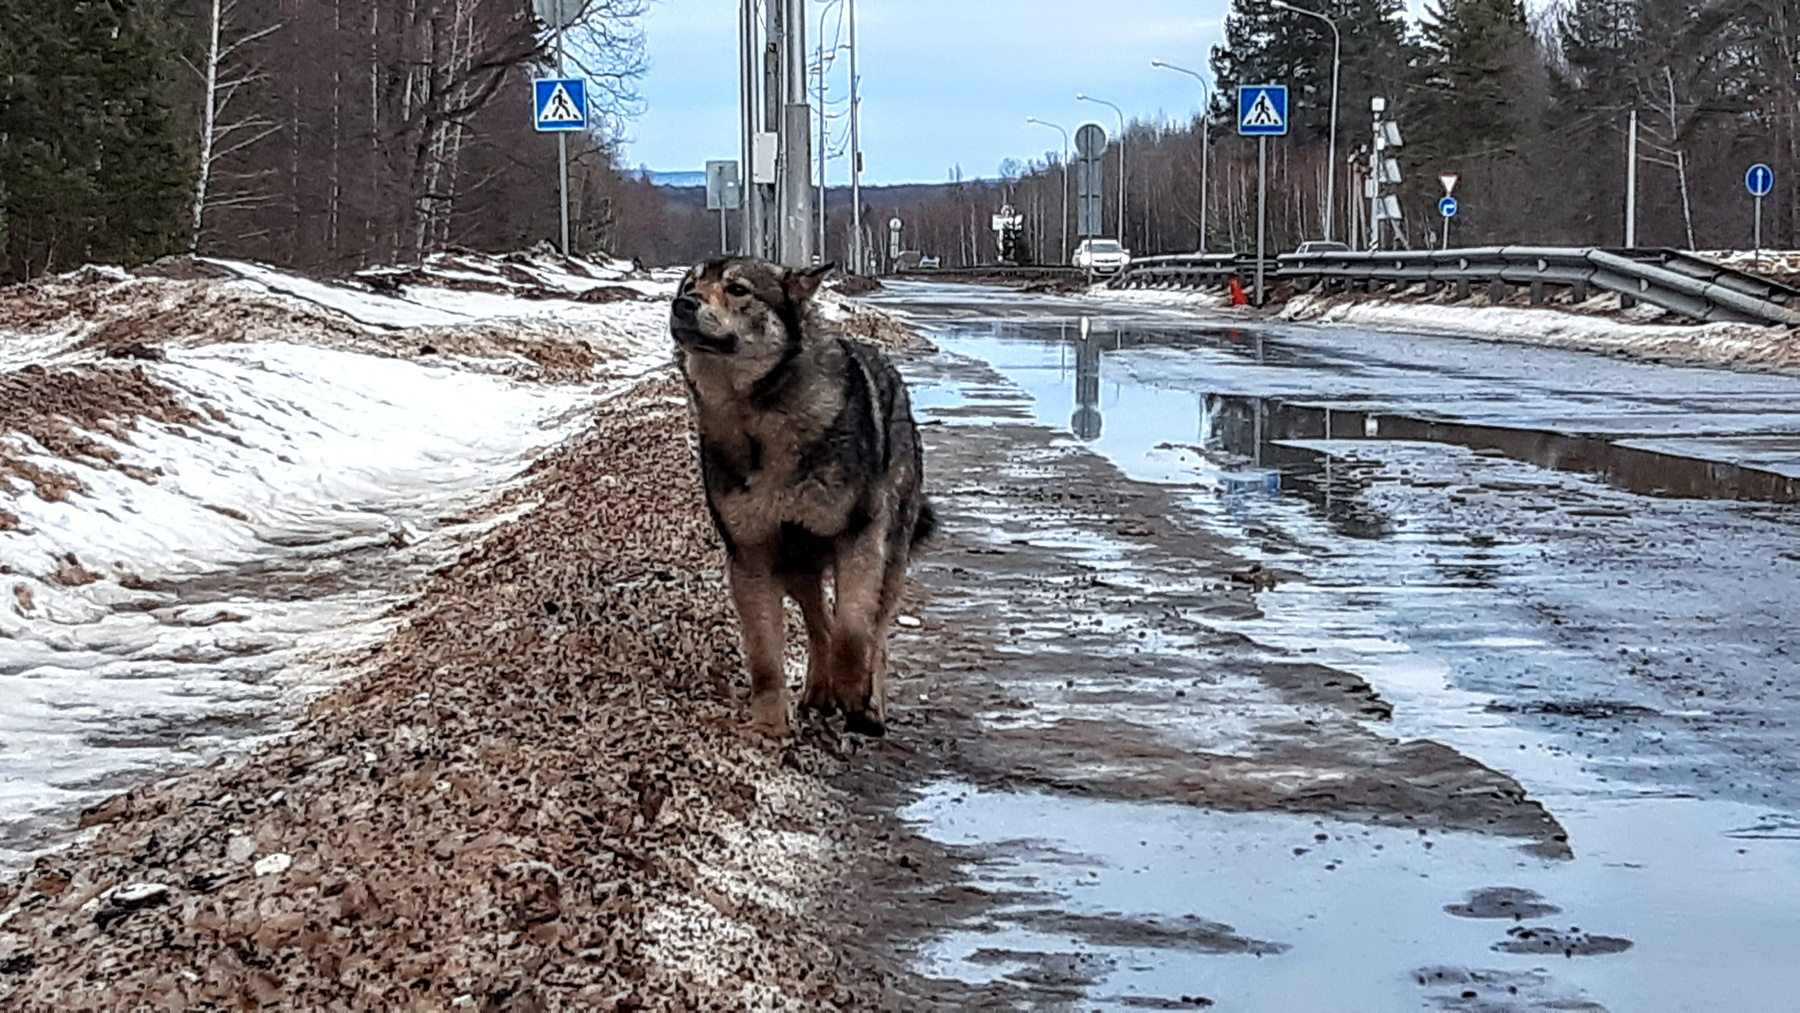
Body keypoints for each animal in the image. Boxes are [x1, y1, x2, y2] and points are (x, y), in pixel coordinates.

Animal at [670, 257, 933, 737]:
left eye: (738, 289)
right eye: (688, 285)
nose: (682, 304)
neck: (758, 416)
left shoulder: (859, 539)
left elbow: (853, 631)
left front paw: (854, 693)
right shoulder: (752, 555)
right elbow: (765, 655)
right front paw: (769, 724)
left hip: (889, 555)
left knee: (875, 631)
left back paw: (870, 704)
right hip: (795, 562)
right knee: (819, 623)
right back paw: (818, 690)